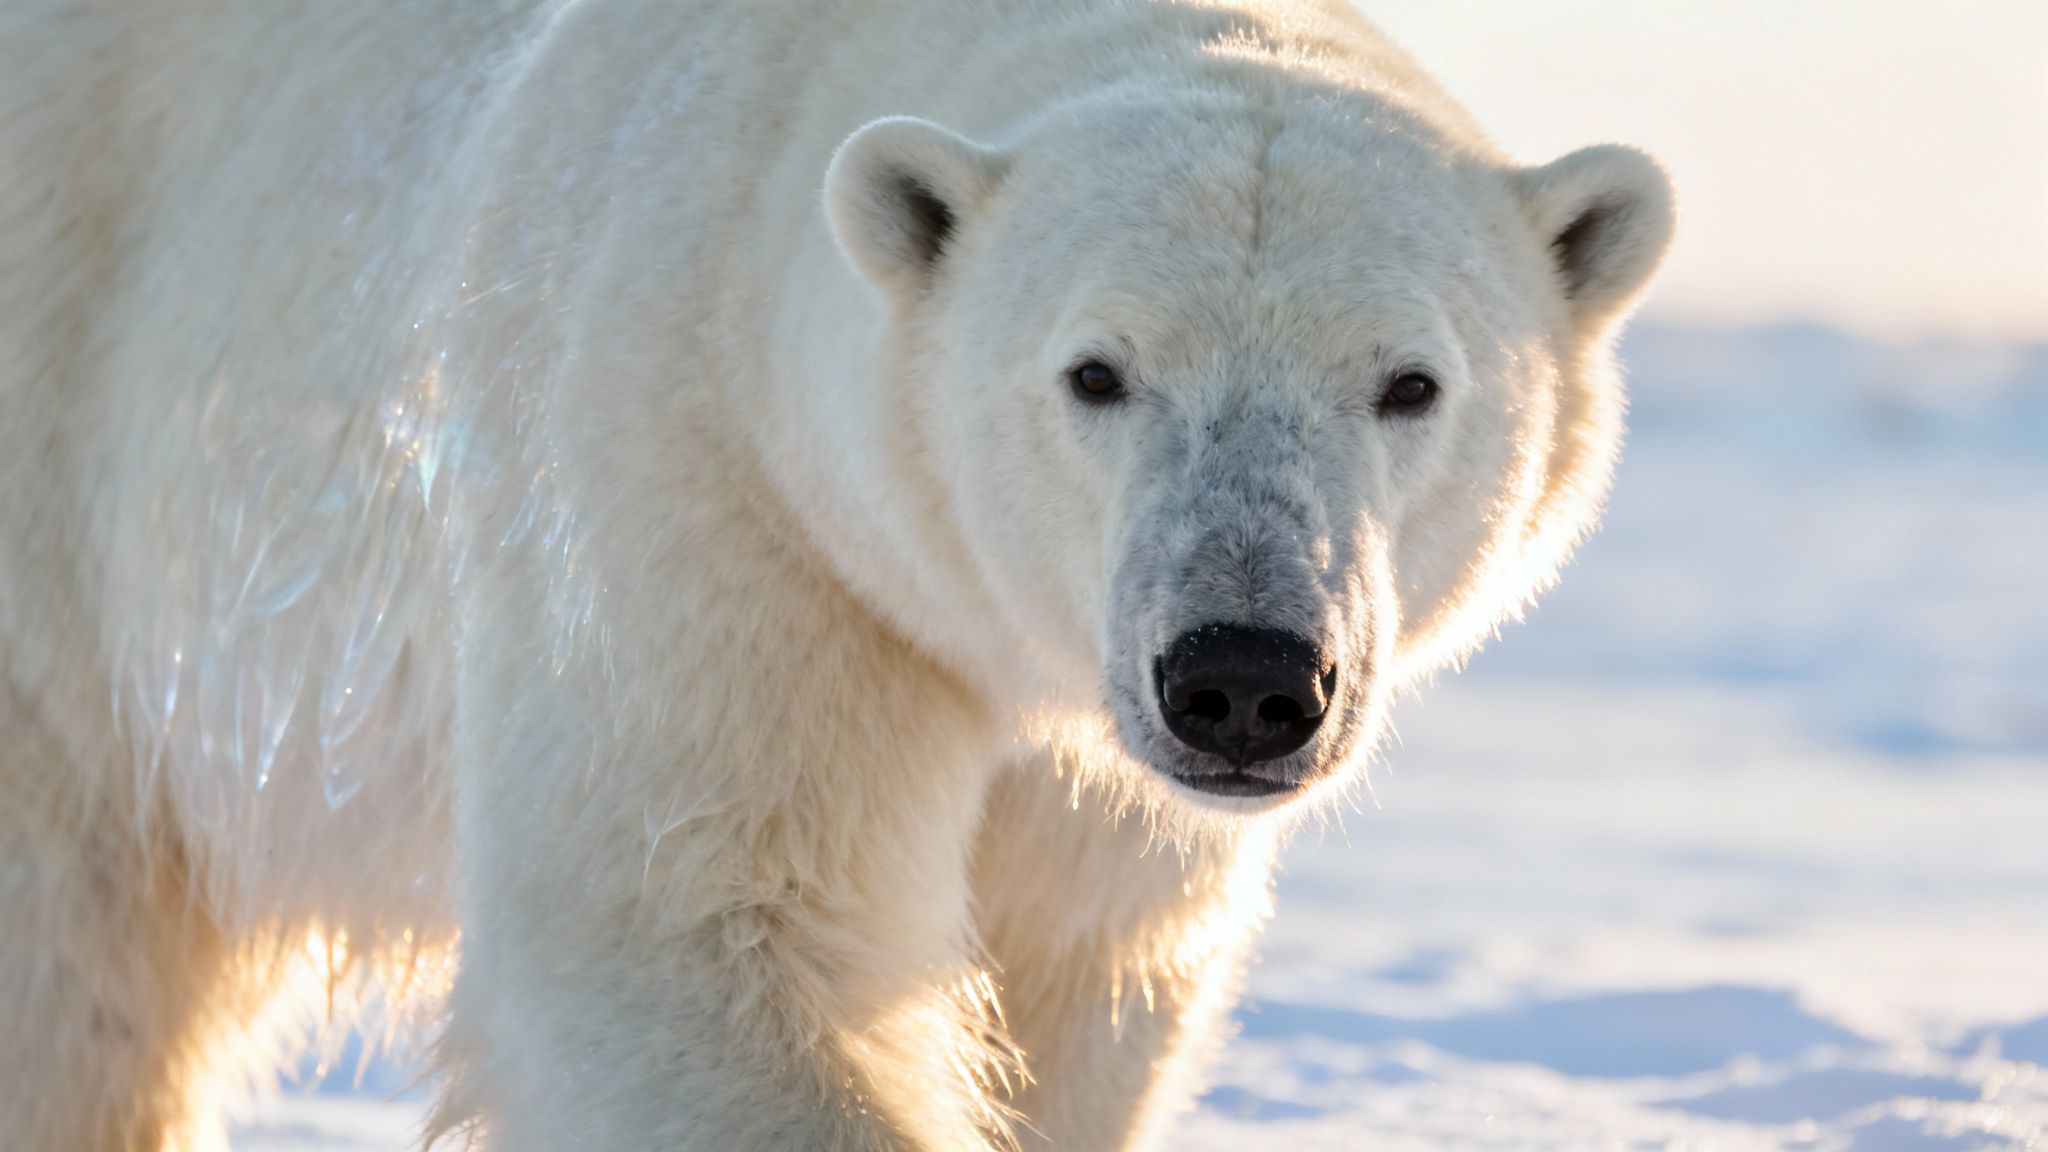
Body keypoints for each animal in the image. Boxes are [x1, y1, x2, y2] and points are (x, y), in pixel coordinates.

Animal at [0, 0, 1673, 1148]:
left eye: (1408, 383)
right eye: (1097, 371)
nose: (1246, 678)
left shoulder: (1096, 779)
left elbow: (1076, 975)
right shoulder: (723, 500)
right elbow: (706, 925)